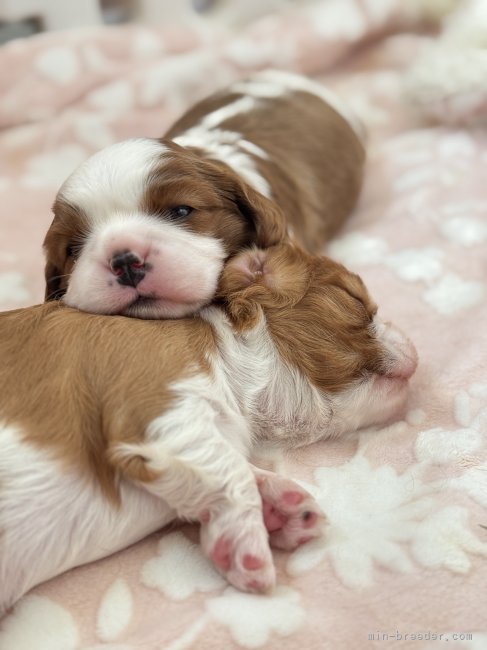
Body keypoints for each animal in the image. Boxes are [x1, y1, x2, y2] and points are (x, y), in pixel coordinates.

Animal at [0, 243, 420, 612]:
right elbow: (233, 471)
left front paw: (281, 503)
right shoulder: (155, 405)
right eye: (356, 300)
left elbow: (232, 469)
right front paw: (246, 544)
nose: (416, 347)